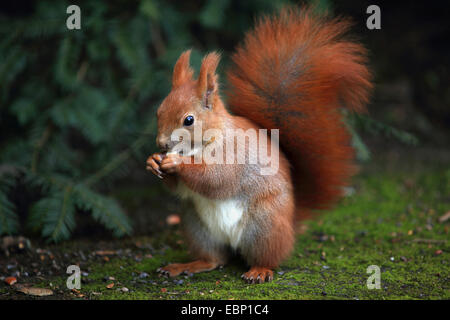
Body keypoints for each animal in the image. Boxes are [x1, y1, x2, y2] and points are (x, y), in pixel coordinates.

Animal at [146, 6, 370, 282]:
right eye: (158, 111)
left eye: (189, 120)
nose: (162, 143)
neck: (203, 143)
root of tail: (291, 223)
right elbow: (181, 189)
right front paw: (153, 161)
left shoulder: (234, 154)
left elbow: (216, 179)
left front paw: (178, 163)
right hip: (197, 226)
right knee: (214, 259)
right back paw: (188, 265)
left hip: (264, 225)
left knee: (268, 257)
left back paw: (259, 270)